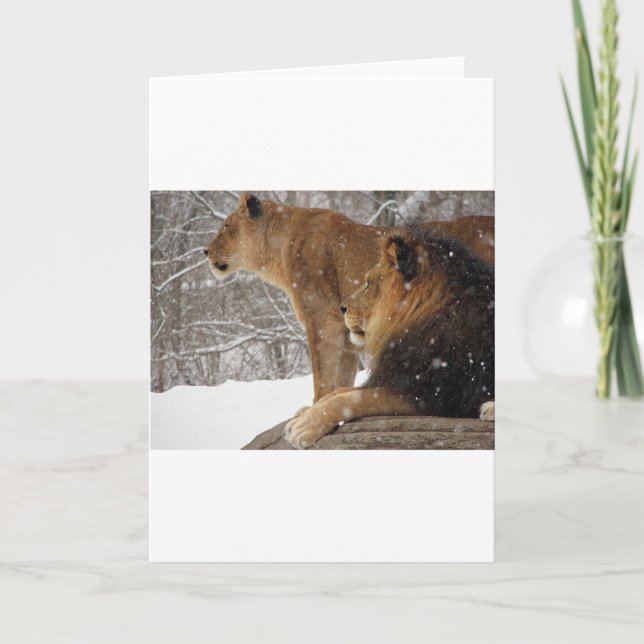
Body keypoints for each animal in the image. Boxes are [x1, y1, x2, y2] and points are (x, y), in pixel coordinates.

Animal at [205, 193, 494, 402]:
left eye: (226, 226)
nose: (205, 251)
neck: (278, 250)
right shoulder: (347, 336)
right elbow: (341, 380)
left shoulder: (323, 319)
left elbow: (322, 377)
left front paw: (315, 407)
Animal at [283, 229, 494, 448]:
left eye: (368, 283)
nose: (342, 307)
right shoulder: (391, 375)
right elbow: (340, 391)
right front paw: (303, 414)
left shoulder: (428, 393)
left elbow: (351, 399)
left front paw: (304, 427)